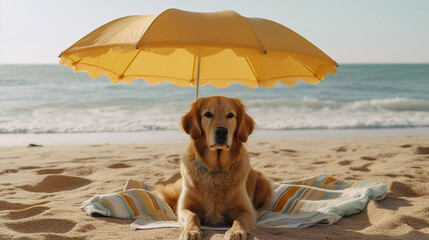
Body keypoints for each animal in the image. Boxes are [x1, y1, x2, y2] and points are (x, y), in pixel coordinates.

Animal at [155, 96, 272, 240]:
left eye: (230, 115)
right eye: (208, 114)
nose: (221, 131)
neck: (216, 169)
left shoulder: (247, 210)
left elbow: (240, 219)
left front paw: (236, 231)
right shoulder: (184, 208)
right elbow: (192, 216)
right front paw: (191, 231)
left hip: (265, 183)